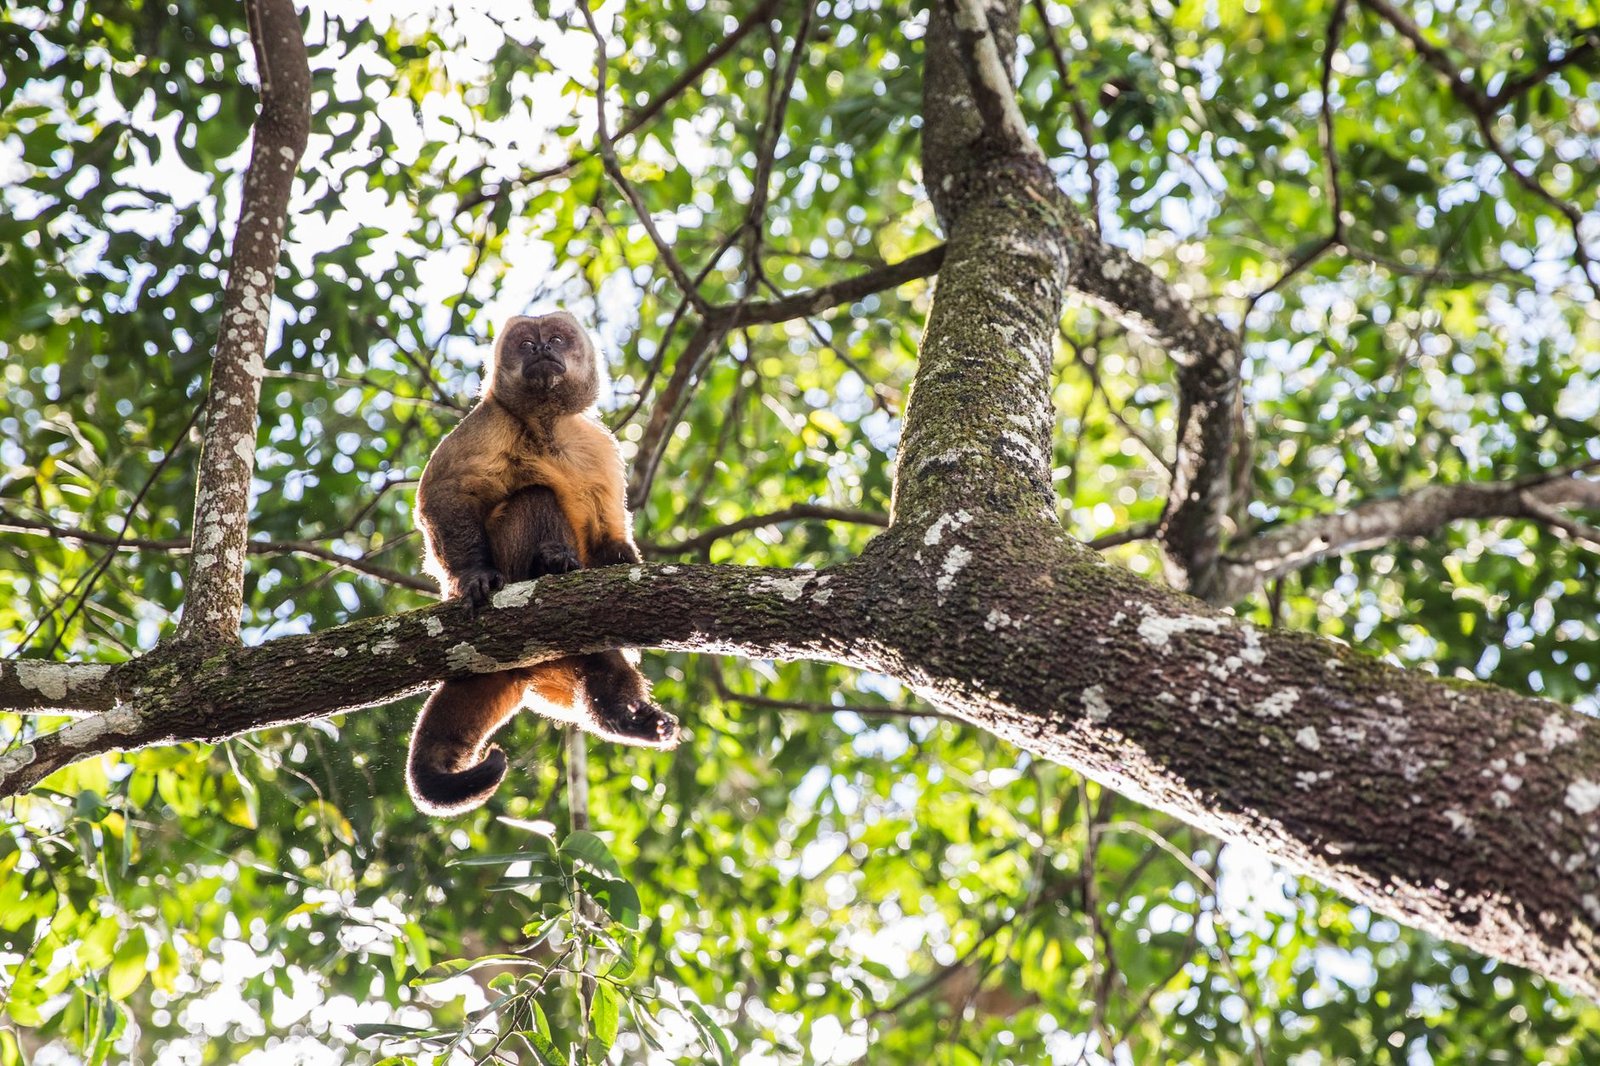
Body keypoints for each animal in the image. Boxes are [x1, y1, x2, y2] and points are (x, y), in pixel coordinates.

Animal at [407, 311, 680, 816]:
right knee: (533, 496)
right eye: (526, 343)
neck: (545, 424)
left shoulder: (597, 444)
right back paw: (548, 563)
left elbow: (608, 534)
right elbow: (444, 494)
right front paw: (472, 577)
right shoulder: (487, 423)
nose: (540, 348)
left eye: (555, 338)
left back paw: (622, 716)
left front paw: (621, 559)